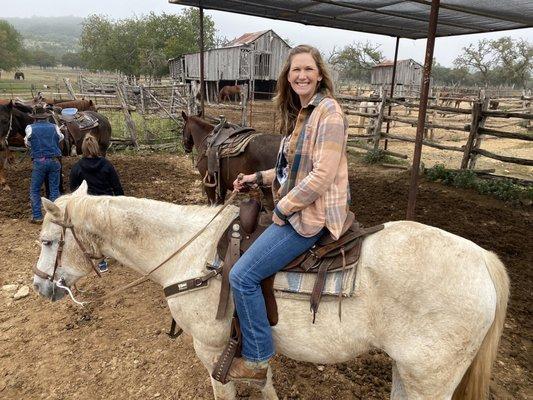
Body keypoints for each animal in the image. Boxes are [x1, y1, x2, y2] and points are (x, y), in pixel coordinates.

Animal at [32, 182, 508, 400]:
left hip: (431, 377)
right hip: (407, 371)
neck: (191, 253)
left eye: (49, 241)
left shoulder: (211, 349)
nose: (40, 286)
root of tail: (482, 261)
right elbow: (266, 384)